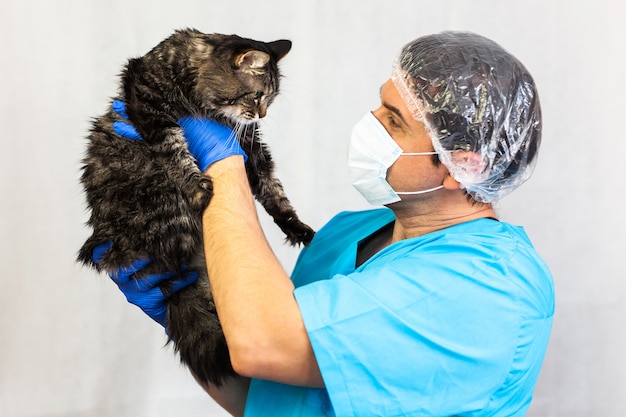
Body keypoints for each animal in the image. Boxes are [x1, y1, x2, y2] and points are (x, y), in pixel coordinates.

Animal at [76, 28, 314, 386]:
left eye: (269, 99)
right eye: (257, 96)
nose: (262, 115)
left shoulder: (248, 145)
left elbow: (274, 190)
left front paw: (296, 227)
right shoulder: (148, 101)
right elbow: (173, 146)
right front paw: (196, 185)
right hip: (169, 207)